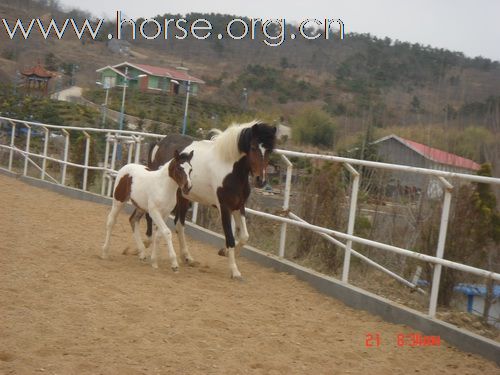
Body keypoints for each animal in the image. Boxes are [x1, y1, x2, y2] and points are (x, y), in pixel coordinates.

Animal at [141, 122, 276, 280]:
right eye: (253, 147)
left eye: (270, 150)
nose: (260, 180)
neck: (230, 170)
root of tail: (160, 142)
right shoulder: (224, 208)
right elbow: (230, 238)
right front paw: (234, 270)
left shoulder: (239, 206)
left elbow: (244, 236)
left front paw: (224, 252)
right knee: (150, 216)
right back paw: (146, 243)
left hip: (182, 197)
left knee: (179, 224)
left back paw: (187, 257)